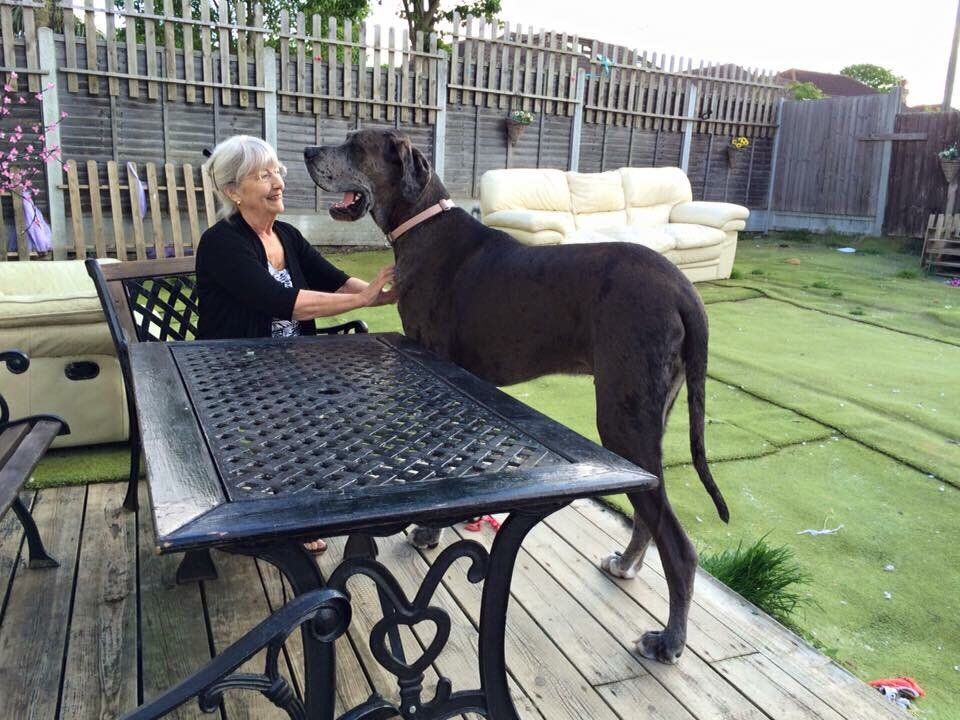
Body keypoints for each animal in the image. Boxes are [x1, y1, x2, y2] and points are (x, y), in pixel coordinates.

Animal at [304, 129, 728, 664]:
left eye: (357, 145)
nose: (307, 153)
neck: (422, 223)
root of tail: (684, 288)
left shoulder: (437, 363)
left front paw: (428, 532)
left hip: (622, 415)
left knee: (678, 543)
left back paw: (669, 640)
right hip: (647, 411)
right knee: (650, 505)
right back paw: (627, 565)